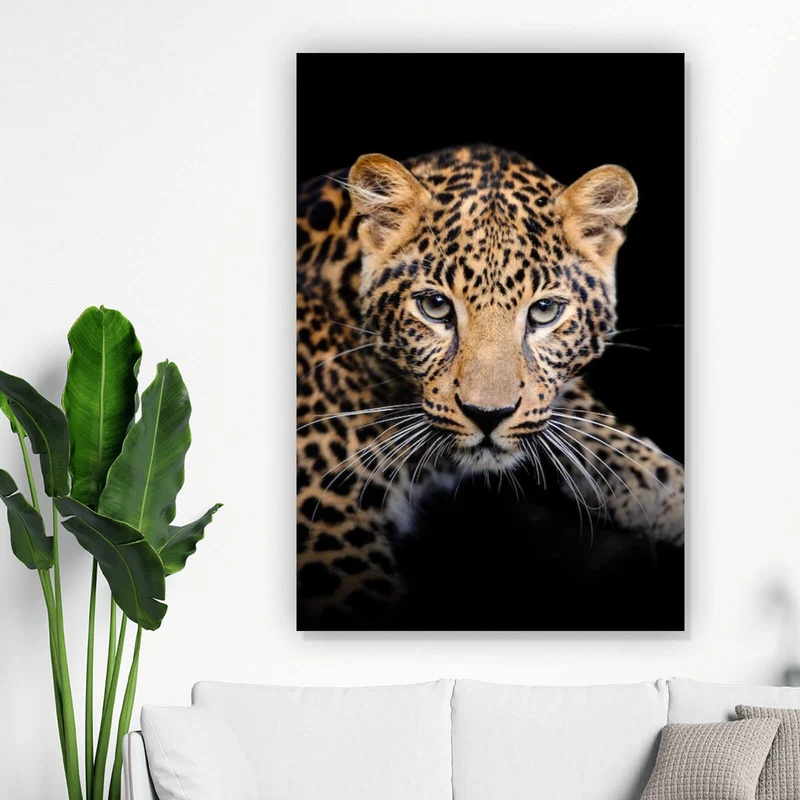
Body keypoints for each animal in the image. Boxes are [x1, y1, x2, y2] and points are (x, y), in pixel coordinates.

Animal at [297, 144, 684, 629]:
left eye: (544, 311)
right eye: (435, 306)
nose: (487, 415)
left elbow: (600, 429)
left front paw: (674, 493)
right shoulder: (326, 520)